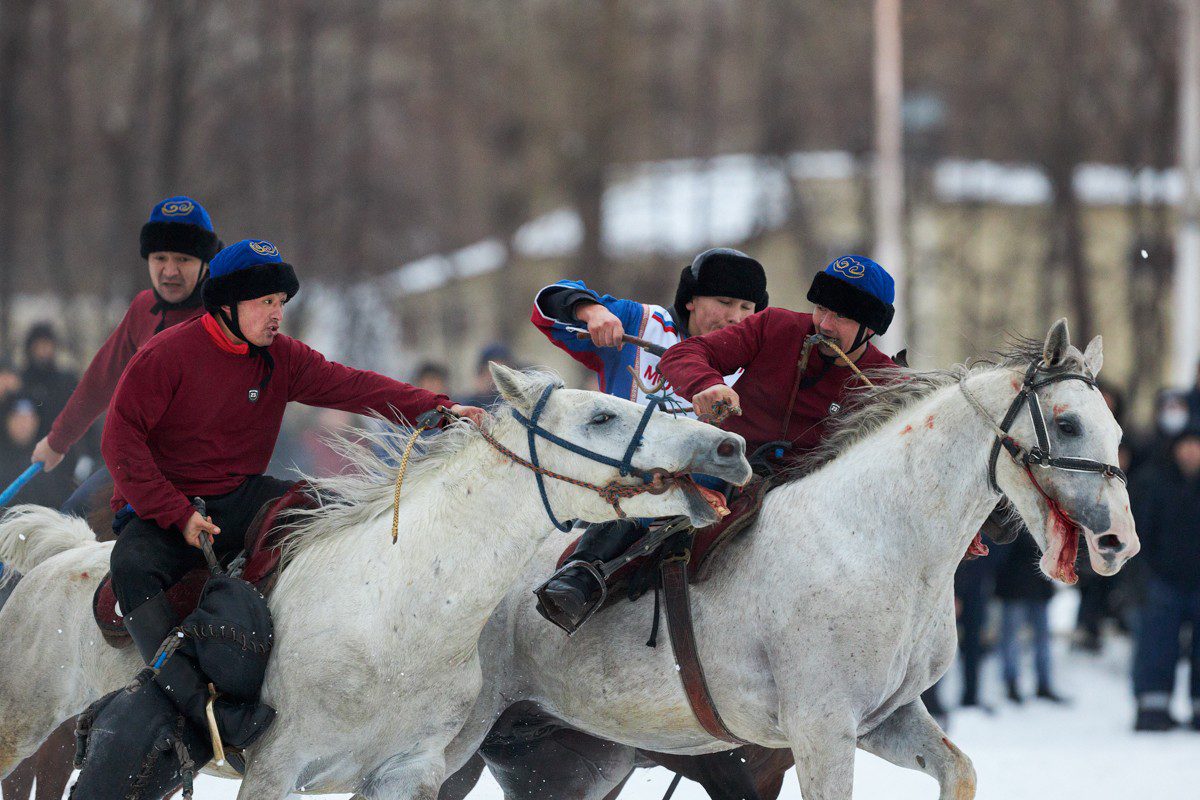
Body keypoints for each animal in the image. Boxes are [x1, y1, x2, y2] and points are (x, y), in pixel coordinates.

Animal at [0, 364, 748, 800]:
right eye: (601, 416)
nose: (727, 446)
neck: (396, 615)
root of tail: (52, 562)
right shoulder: (275, 775)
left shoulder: (406, 775)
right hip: (20, 732)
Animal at [444, 321, 1142, 800]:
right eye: (1068, 424)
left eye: (1115, 429)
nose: (1119, 543)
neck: (873, 537)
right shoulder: (819, 731)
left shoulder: (885, 721)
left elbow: (959, 769)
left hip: (561, 765)